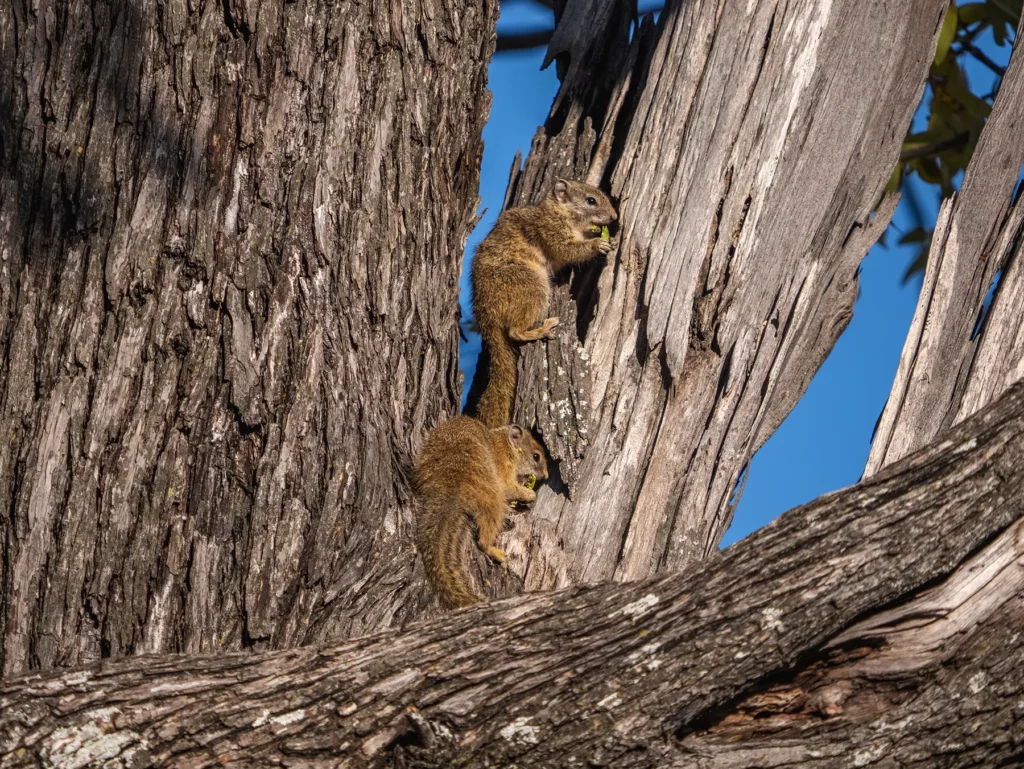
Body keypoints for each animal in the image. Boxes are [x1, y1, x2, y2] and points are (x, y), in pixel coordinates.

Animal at [414, 416, 548, 609]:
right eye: (536, 456)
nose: (545, 476)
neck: (504, 443)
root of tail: (452, 486)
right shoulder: (503, 466)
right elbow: (508, 488)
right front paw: (529, 494)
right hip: (492, 498)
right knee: (484, 537)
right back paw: (495, 551)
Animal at [471, 179, 618, 428]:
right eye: (591, 201)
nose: (614, 217)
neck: (559, 212)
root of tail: (486, 313)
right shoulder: (549, 230)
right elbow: (568, 250)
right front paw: (597, 244)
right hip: (530, 286)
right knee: (515, 331)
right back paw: (540, 330)